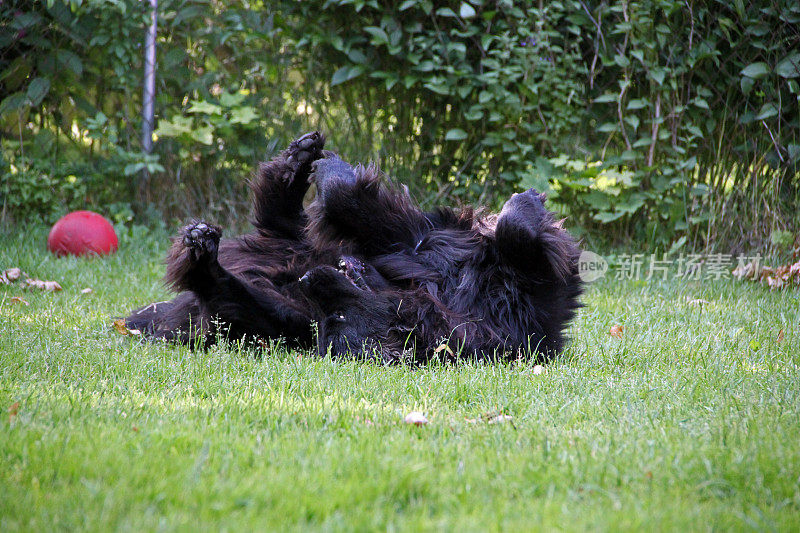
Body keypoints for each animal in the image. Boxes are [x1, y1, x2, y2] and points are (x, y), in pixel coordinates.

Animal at [128, 131, 584, 362]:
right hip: (275, 289)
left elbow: (521, 246)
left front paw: (526, 205)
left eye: (339, 319)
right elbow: (353, 204)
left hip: (279, 295)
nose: (310, 283)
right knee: (264, 242)